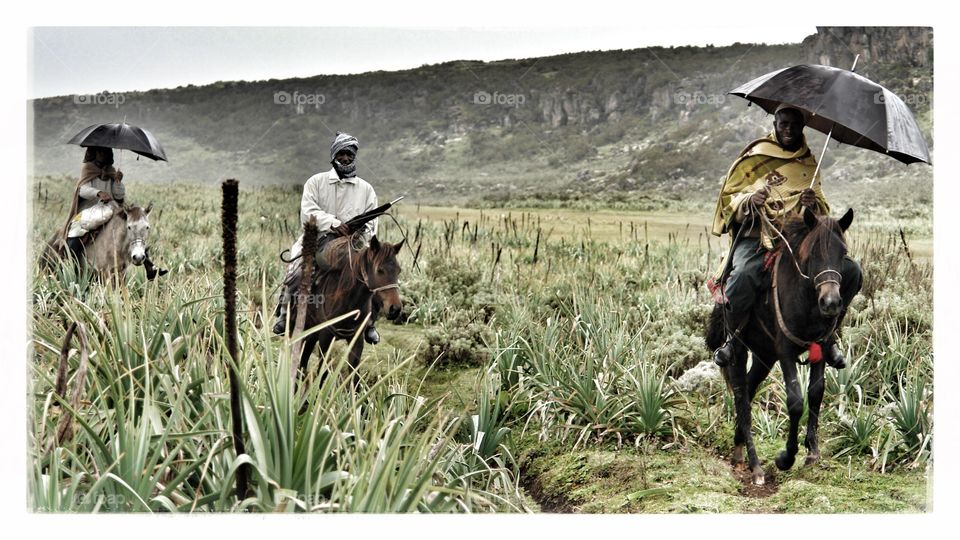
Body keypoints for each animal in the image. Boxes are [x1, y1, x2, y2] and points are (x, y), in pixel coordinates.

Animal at [288, 235, 404, 389]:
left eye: (398, 270)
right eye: (380, 270)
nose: (395, 309)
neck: (346, 301)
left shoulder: (357, 340)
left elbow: (354, 376)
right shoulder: (325, 339)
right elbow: (322, 374)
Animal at [705, 207, 855, 486]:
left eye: (843, 252)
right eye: (813, 252)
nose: (831, 303)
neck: (807, 299)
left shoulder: (820, 346)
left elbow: (816, 393)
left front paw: (812, 452)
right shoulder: (785, 351)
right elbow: (795, 401)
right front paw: (786, 457)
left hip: (764, 356)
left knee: (750, 390)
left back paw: (738, 449)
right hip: (739, 351)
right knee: (741, 395)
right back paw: (755, 466)